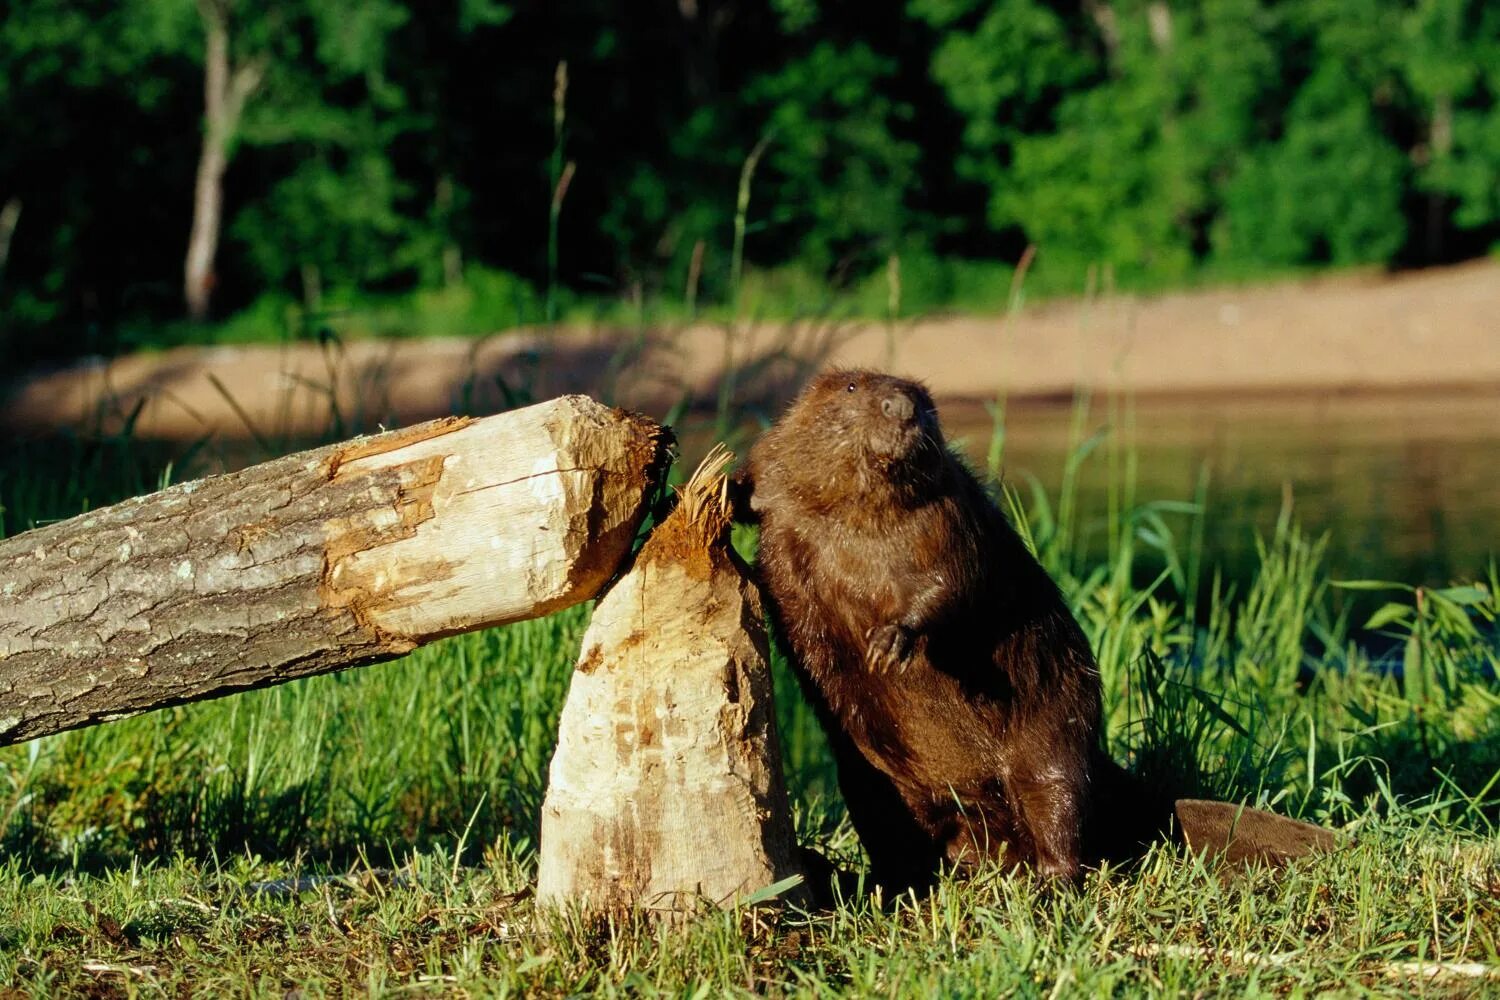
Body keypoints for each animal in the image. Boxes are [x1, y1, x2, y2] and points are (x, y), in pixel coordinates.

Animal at [738, 370, 1170, 893]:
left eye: (925, 400)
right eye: (852, 388)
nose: (901, 407)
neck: (854, 515)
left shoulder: (950, 514)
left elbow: (957, 578)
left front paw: (889, 643)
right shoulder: (782, 480)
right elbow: (761, 480)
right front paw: (719, 490)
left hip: (1053, 731)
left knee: (1058, 801)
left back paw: (1050, 883)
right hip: (867, 782)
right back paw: (882, 882)